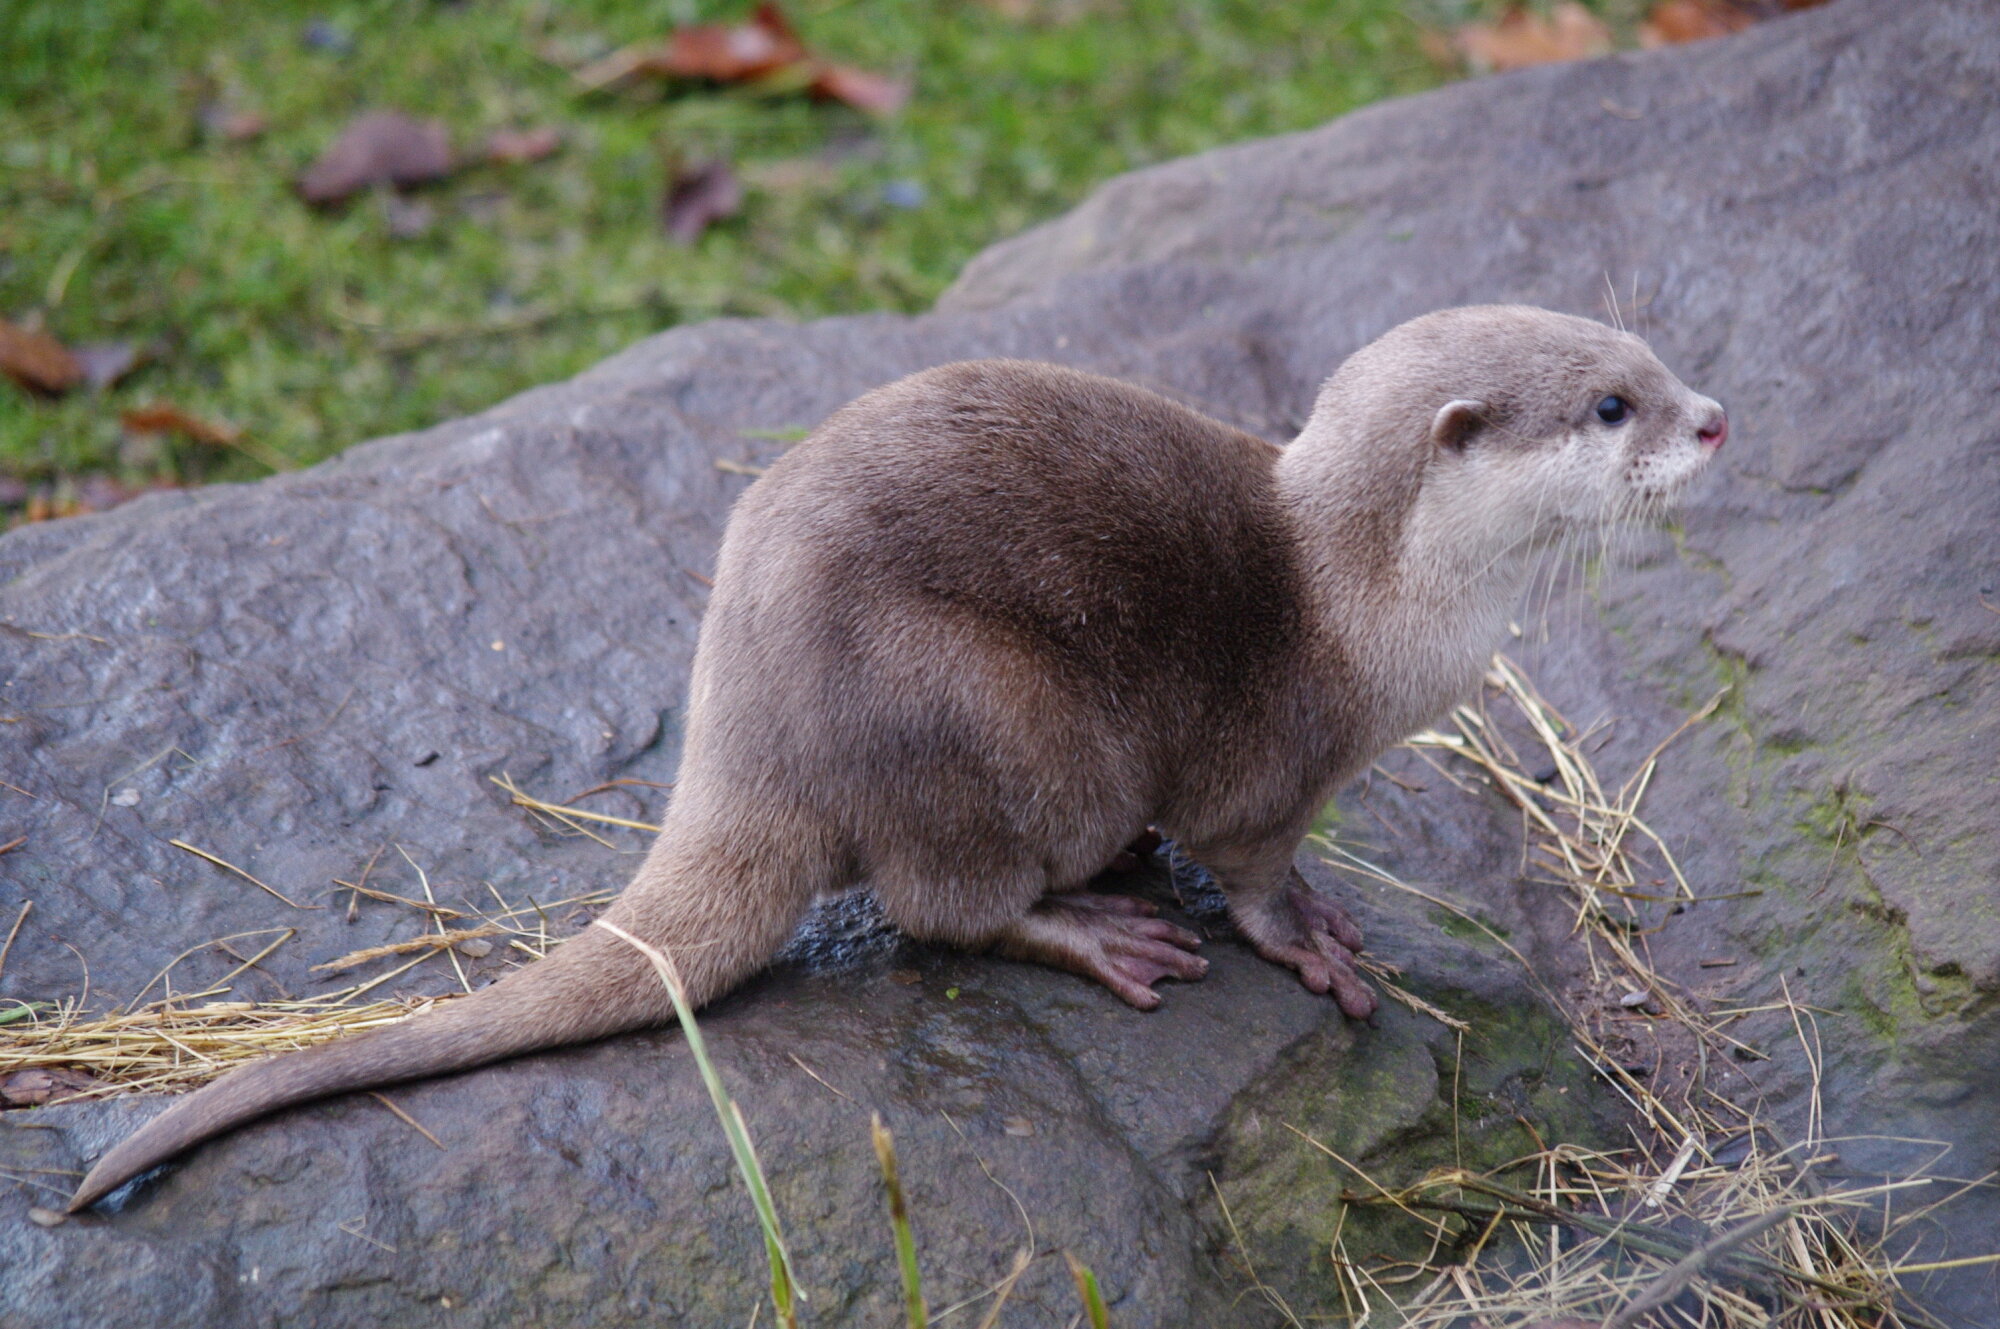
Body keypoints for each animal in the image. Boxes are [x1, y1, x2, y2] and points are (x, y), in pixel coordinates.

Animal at [68, 305, 1725, 1212]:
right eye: (1611, 405)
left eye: (1648, 358)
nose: (1715, 417)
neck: (1377, 600)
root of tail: (748, 721)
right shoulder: (1271, 756)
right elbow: (1254, 866)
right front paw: (1312, 938)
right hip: (991, 711)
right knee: (944, 903)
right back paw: (1097, 929)